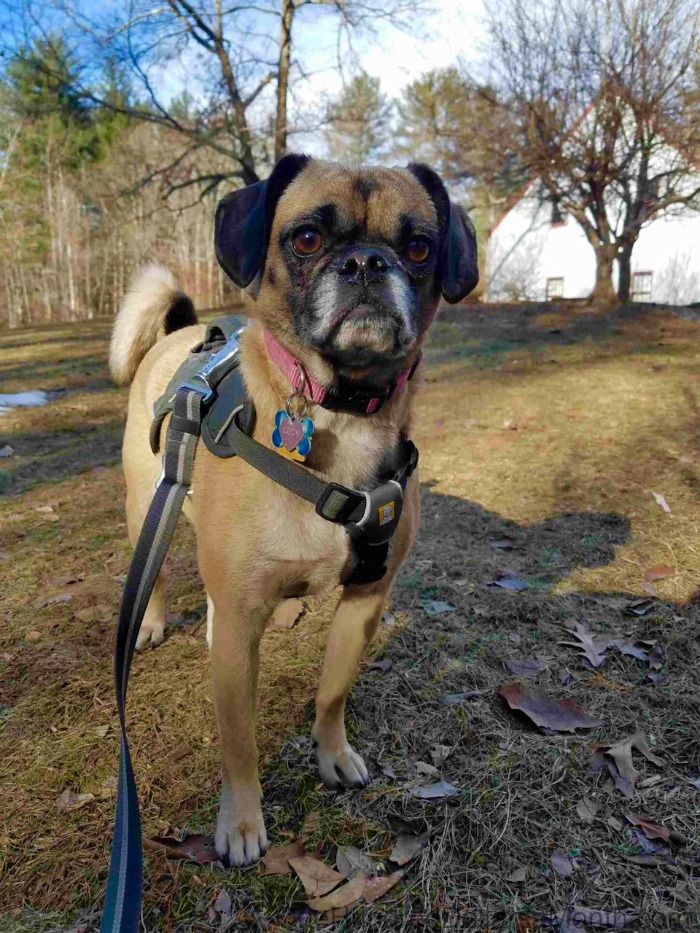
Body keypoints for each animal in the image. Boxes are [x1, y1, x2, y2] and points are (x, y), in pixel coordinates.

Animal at [109, 155, 478, 868]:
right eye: (306, 239)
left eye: (419, 247)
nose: (365, 262)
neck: (344, 411)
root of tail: (183, 331)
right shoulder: (237, 646)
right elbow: (239, 741)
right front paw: (243, 821)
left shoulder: (365, 602)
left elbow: (331, 693)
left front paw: (332, 756)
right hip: (148, 504)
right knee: (161, 574)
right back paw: (158, 622)